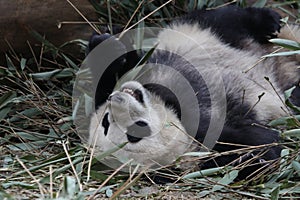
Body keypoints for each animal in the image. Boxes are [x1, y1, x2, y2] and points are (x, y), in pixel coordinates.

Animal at [85, 5, 300, 180]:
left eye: (105, 121)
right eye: (137, 131)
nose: (118, 100)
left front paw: (105, 44)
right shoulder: (207, 140)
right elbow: (259, 149)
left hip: (201, 33)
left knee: (223, 18)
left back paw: (270, 22)